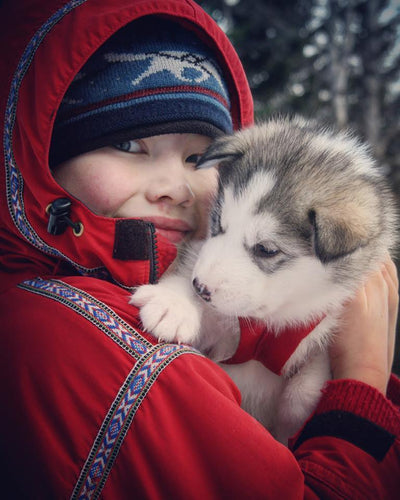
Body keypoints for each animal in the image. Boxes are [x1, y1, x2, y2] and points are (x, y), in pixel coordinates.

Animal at [130, 118, 396, 446]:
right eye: (218, 224)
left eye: (266, 249)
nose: (200, 288)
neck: (270, 324)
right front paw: (174, 303)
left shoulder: (324, 327)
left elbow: (304, 390)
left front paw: (293, 422)